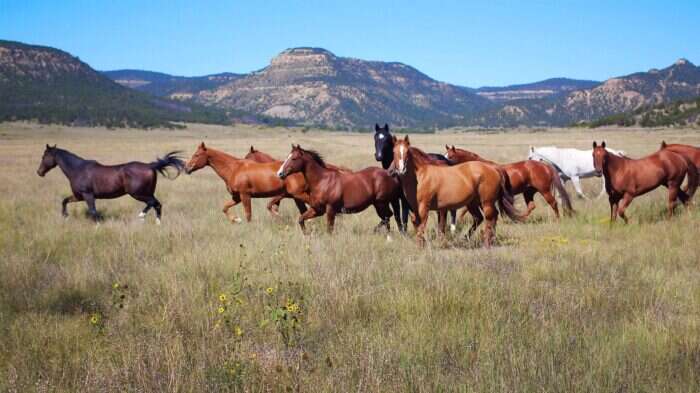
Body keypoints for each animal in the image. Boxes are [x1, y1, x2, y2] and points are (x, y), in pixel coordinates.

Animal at [36, 144, 183, 224]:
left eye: (44, 156)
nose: (39, 172)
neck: (78, 169)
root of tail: (150, 165)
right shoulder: (79, 196)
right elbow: (65, 201)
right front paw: (65, 217)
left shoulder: (88, 195)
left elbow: (93, 211)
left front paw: (97, 227)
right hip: (147, 193)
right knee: (157, 205)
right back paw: (157, 224)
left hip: (138, 194)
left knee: (153, 203)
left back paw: (141, 217)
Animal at [442, 145, 576, 216]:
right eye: (444, 155)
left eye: (451, 156)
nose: (444, 167)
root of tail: (545, 166)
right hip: (528, 192)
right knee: (531, 206)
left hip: (544, 190)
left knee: (553, 203)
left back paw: (557, 219)